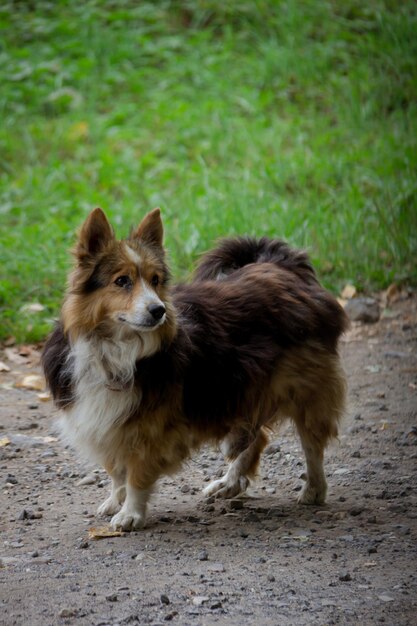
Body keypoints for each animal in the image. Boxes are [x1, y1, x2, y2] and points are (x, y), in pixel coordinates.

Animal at [42, 207, 348, 528]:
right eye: (122, 281)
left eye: (155, 280)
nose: (159, 311)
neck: (115, 347)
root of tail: (284, 267)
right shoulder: (108, 422)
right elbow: (116, 471)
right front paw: (116, 500)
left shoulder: (148, 430)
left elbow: (135, 474)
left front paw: (130, 513)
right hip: (245, 389)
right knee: (255, 436)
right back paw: (230, 481)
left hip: (304, 389)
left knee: (311, 444)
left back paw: (314, 489)